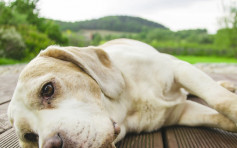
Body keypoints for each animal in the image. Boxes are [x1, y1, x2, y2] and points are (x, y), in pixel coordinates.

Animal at [8, 38, 237, 147]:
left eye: (47, 89)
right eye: (29, 136)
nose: (53, 145)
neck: (128, 104)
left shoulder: (178, 68)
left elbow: (221, 100)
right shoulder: (183, 112)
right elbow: (221, 118)